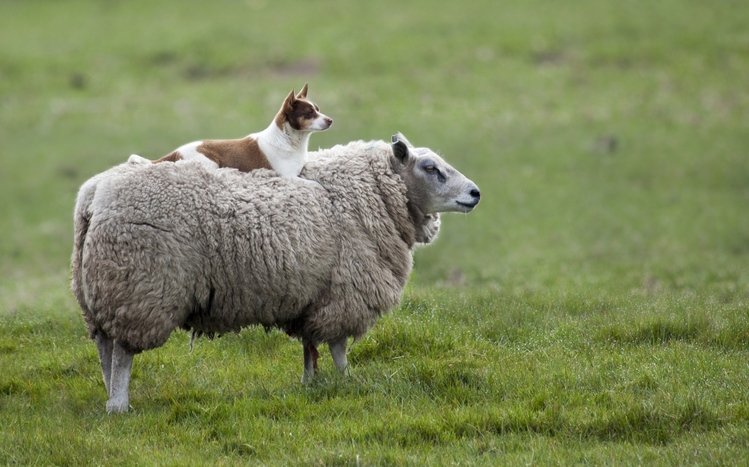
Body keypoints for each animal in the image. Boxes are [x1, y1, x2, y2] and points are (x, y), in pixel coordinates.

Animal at [71, 133, 480, 413]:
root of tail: (94, 195)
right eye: (431, 168)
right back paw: (119, 405)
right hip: (138, 287)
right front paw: (347, 381)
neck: (369, 195)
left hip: (98, 290)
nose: (475, 193)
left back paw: (110, 394)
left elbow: (309, 347)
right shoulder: (345, 292)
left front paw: (310, 384)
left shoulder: (313, 296)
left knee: (105, 347)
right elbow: (338, 347)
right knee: (122, 351)